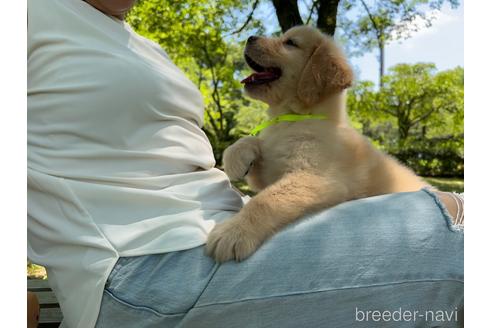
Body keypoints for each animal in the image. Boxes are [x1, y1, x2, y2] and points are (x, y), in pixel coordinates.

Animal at [205, 25, 426, 264]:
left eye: (290, 43)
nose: (250, 37)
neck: (293, 119)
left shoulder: (314, 177)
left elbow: (266, 200)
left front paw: (234, 231)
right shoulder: (269, 170)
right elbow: (255, 142)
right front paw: (235, 157)